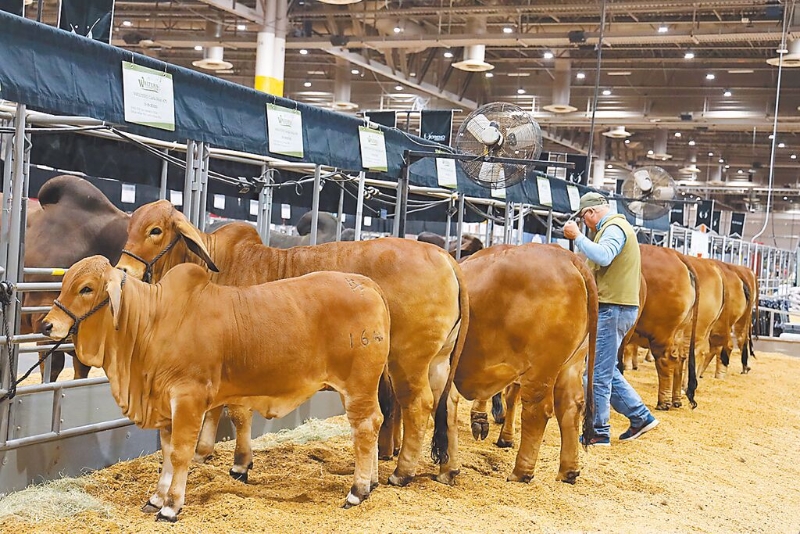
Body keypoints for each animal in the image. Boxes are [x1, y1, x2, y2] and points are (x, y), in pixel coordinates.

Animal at [41, 258, 390, 520]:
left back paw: (357, 491)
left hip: (358, 384)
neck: (153, 322)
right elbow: (166, 453)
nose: (47, 325)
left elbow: (181, 453)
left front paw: (171, 506)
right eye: (65, 282)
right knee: (372, 425)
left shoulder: (187, 398)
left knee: (365, 426)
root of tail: (367, 284)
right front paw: (156, 498)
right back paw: (371, 482)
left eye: (86, 288)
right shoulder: (165, 405)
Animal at [118, 201, 468, 490]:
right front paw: (204, 452)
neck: (217, 267)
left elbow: (238, 412)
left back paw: (402, 472)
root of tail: (445, 257)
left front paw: (240, 464)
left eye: (155, 230)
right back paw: (448, 470)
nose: (123, 270)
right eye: (129, 226)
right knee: (448, 402)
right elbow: (216, 406)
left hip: (407, 360)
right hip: (439, 360)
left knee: (419, 405)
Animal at [456, 245, 592, 488]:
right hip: (572, 363)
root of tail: (568, 256)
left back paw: (521, 472)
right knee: (570, 406)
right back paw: (568, 471)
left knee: (537, 410)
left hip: (540, 368)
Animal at [620, 245, 696, 412]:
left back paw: (664, 402)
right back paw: (676, 400)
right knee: (680, 359)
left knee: (666, 359)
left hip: (661, 333)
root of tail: (676, 255)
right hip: (679, 331)